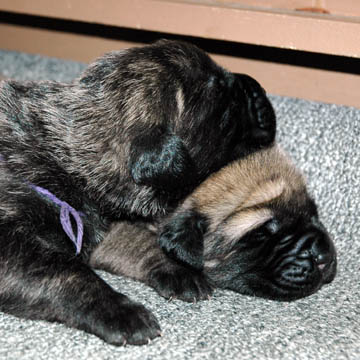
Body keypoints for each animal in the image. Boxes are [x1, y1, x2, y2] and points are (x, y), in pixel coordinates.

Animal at [0, 40, 276, 344]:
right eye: (218, 93)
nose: (260, 87)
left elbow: (139, 240)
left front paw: (177, 269)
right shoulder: (12, 248)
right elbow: (65, 272)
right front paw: (121, 311)